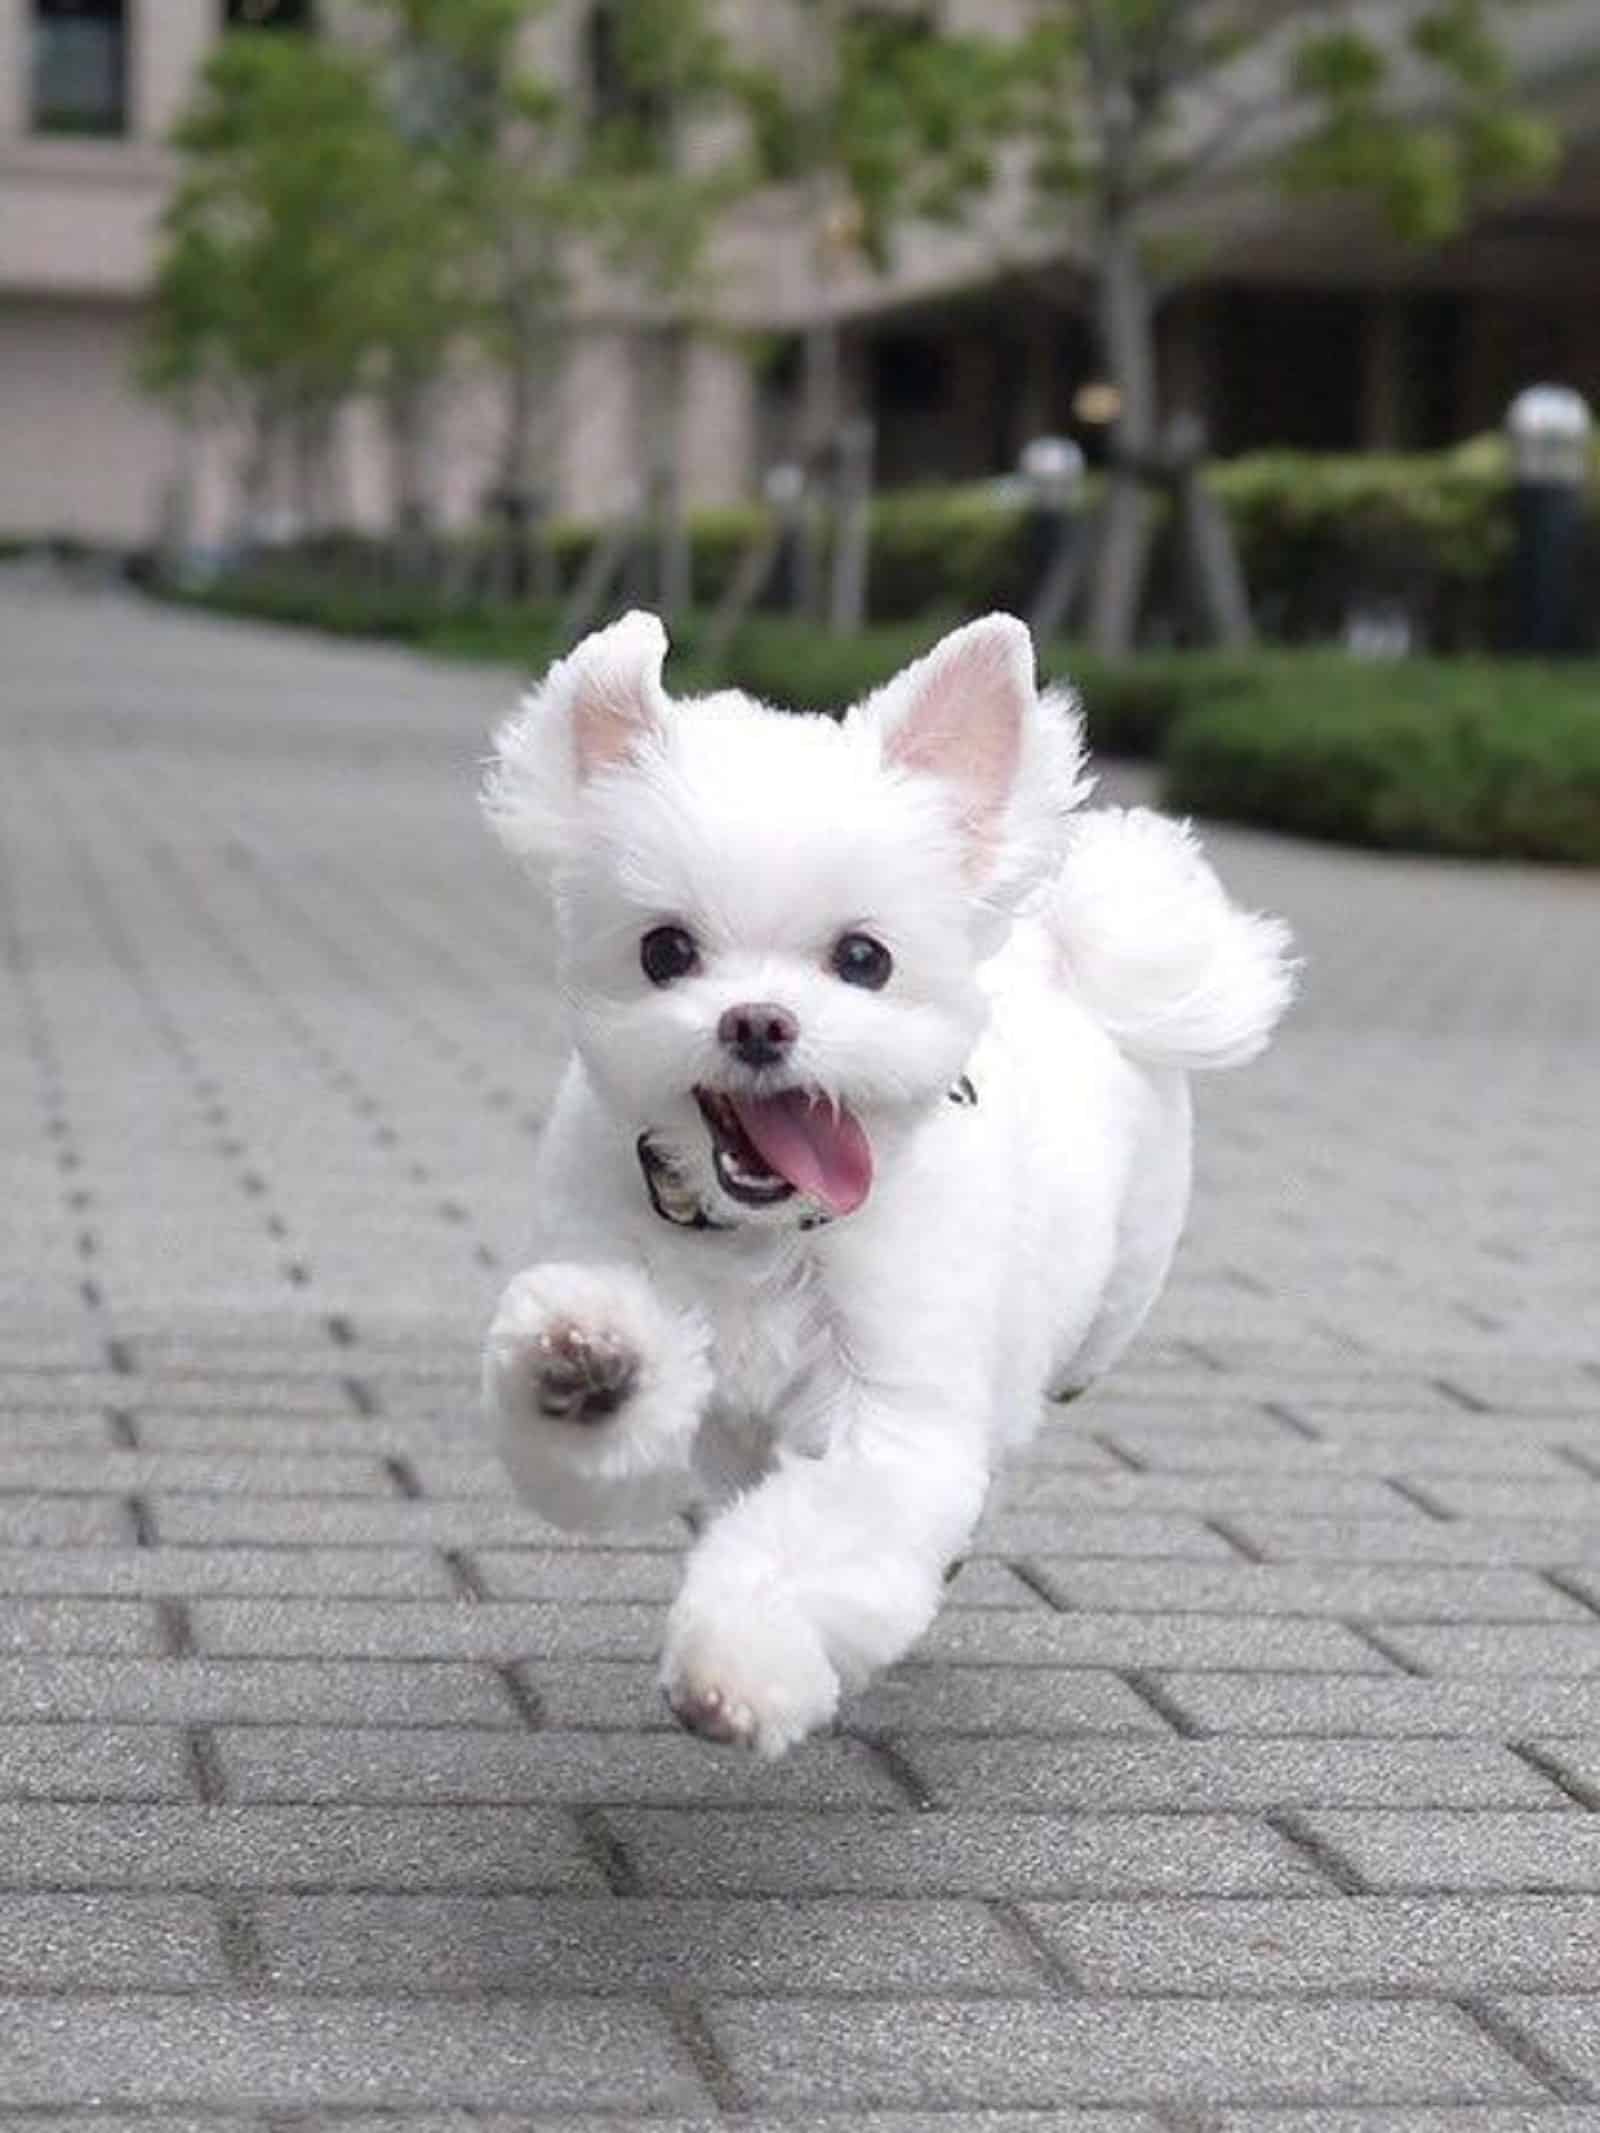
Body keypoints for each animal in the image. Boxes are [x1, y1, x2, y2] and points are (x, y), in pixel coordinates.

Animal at [482, 610, 1297, 1757]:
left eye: (862, 957)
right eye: (665, 950)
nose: (758, 1022)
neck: (764, 1233)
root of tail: (1065, 957)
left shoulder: (894, 1414)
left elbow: (813, 1540)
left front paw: (735, 1668)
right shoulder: (605, 1244)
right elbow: (595, 1413)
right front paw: (590, 1365)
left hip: (1112, 1295)